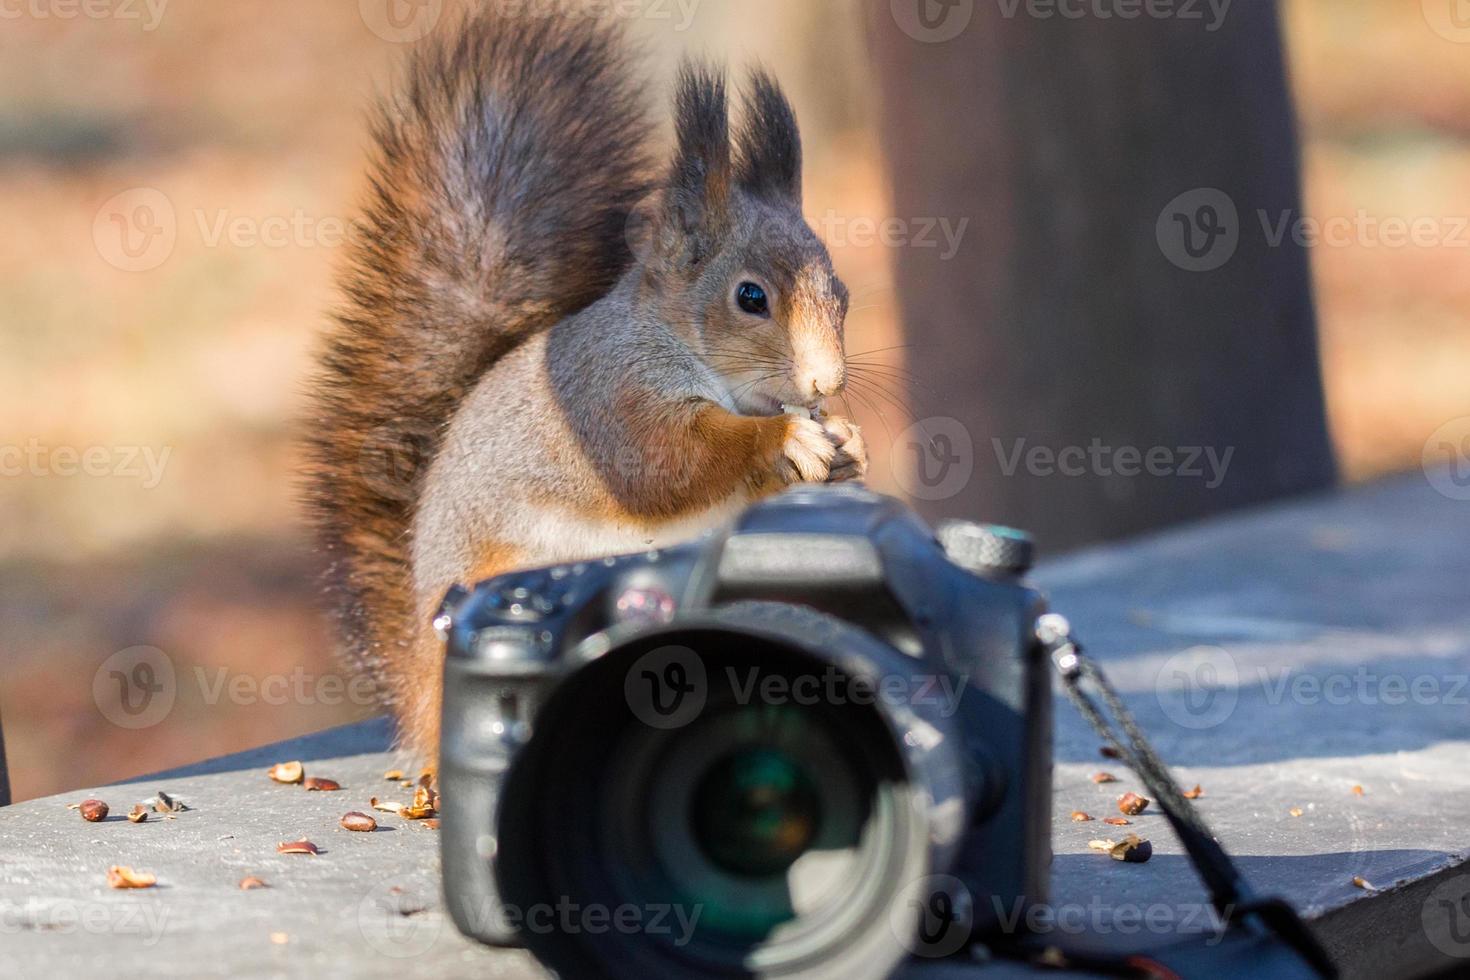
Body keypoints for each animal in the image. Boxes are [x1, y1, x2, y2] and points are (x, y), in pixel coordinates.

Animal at [304, 3, 864, 764]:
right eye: (751, 297)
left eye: (843, 293)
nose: (825, 381)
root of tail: (417, 701)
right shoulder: (609, 397)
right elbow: (662, 463)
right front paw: (783, 439)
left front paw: (848, 444)